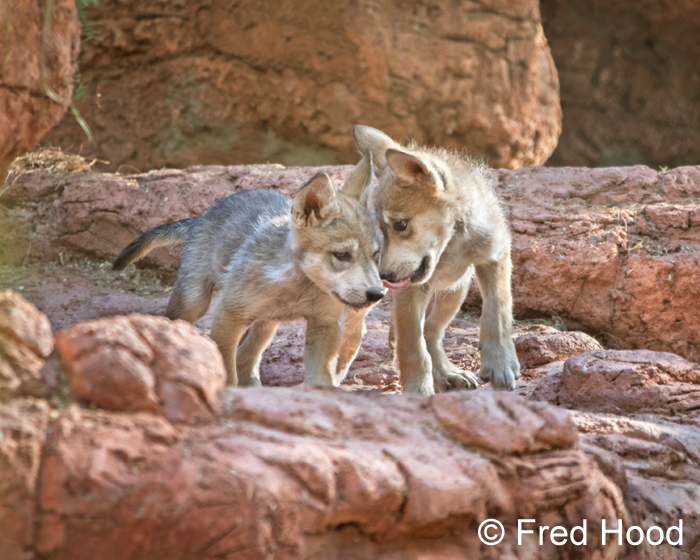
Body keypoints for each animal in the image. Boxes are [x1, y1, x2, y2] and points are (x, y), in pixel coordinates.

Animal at [113, 153, 385, 387]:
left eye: (376, 256)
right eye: (342, 255)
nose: (377, 294)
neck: (298, 288)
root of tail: (204, 215)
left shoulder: (324, 325)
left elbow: (320, 380)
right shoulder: (228, 316)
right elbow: (226, 371)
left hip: (266, 324)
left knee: (247, 356)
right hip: (194, 302)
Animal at [353, 125, 519, 395]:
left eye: (401, 224)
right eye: (382, 230)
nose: (384, 277)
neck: (452, 244)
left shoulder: (495, 257)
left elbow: (498, 311)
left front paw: (500, 363)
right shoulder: (409, 290)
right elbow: (413, 347)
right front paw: (417, 391)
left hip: (455, 292)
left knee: (432, 331)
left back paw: (446, 373)